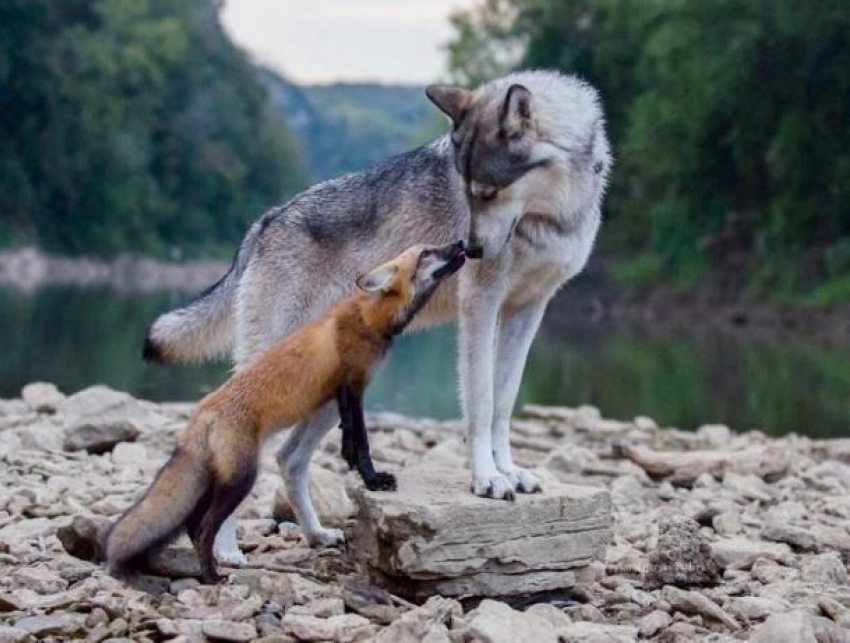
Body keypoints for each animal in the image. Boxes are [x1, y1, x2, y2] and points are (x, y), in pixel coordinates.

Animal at [104, 242, 470, 584]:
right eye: (426, 253)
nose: (461, 244)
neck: (367, 318)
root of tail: (200, 412)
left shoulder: (341, 394)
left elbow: (349, 443)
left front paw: (359, 471)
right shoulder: (353, 387)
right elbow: (362, 443)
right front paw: (373, 479)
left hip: (216, 481)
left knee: (193, 527)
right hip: (241, 478)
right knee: (205, 528)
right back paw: (213, 576)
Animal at [147, 70, 608, 564]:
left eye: (488, 193)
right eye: (469, 193)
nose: (471, 249)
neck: (553, 211)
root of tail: (264, 222)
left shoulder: (528, 310)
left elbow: (504, 402)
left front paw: (510, 471)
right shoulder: (481, 306)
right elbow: (482, 403)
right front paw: (487, 478)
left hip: (333, 391)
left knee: (289, 458)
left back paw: (316, 534)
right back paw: (227, 552)